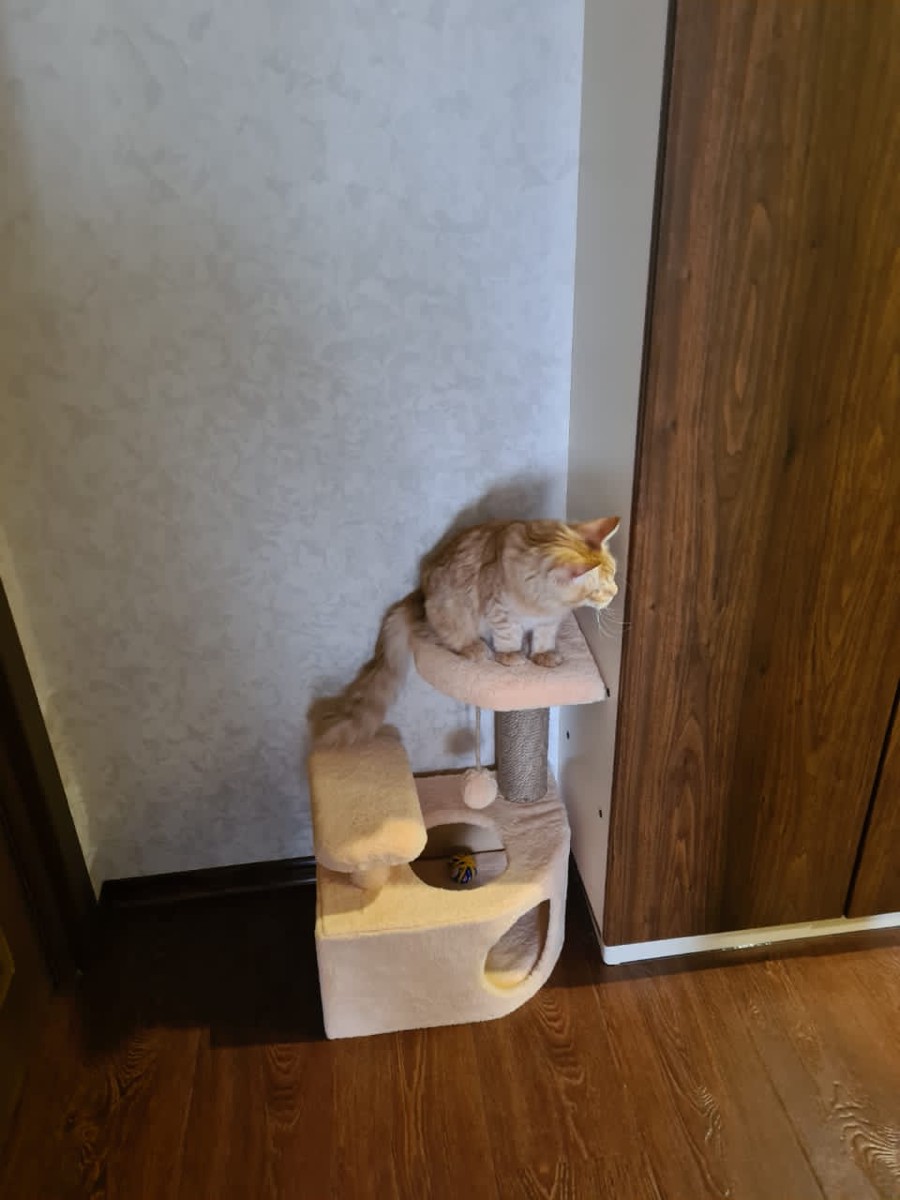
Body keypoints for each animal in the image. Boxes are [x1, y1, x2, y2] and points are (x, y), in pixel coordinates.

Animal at [308, 516, 620, 747]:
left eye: (615, 575)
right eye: (600, 589)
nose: (616, 593)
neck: (541, 603)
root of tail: (418, 597)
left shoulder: (548, 622)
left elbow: (543, 641)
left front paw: (543, 656)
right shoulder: (500, 611)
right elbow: (508, 637)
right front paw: (511, 656)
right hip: (449, 609)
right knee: (448, 638)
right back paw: (475, 648)